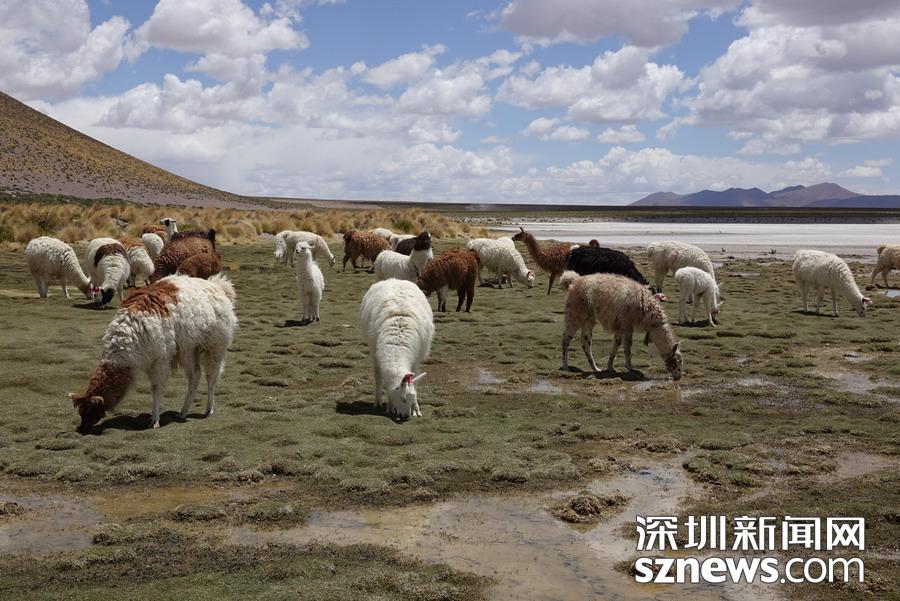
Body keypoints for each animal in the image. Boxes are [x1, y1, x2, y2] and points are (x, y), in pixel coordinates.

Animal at [69, 274, 237, 431]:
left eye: (91, 412)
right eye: (81, 412)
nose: (82, 428)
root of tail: (219, 287)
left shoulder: (160, 359)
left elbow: (156, 389)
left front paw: (155, 421)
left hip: (213, 346)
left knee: (211, 377)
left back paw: (209, 409)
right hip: (188, 349)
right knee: (195, 375)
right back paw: (183, 412)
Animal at [360, 279, 433, 419]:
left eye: (411, 397)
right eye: (402, 398)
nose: (405, 416)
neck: (397, 347)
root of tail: (395, 279)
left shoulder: (416, 360)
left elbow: (414, 384)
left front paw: (415, 409)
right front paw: (390, 406)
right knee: (377, 376)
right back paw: (378, 401)